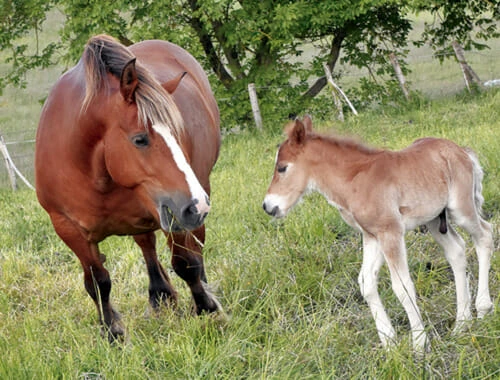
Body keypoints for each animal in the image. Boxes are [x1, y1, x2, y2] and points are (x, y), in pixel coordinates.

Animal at [36, 34, 222, 340]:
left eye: (178, 131)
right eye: (140, 139)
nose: (197, 205)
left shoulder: (172, 211)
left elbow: (186, 262)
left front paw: (207, 308)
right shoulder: (67, 227)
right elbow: (98, 282)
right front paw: (112, 332)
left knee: (195, 246)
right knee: (147, 246)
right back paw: (160, 296)